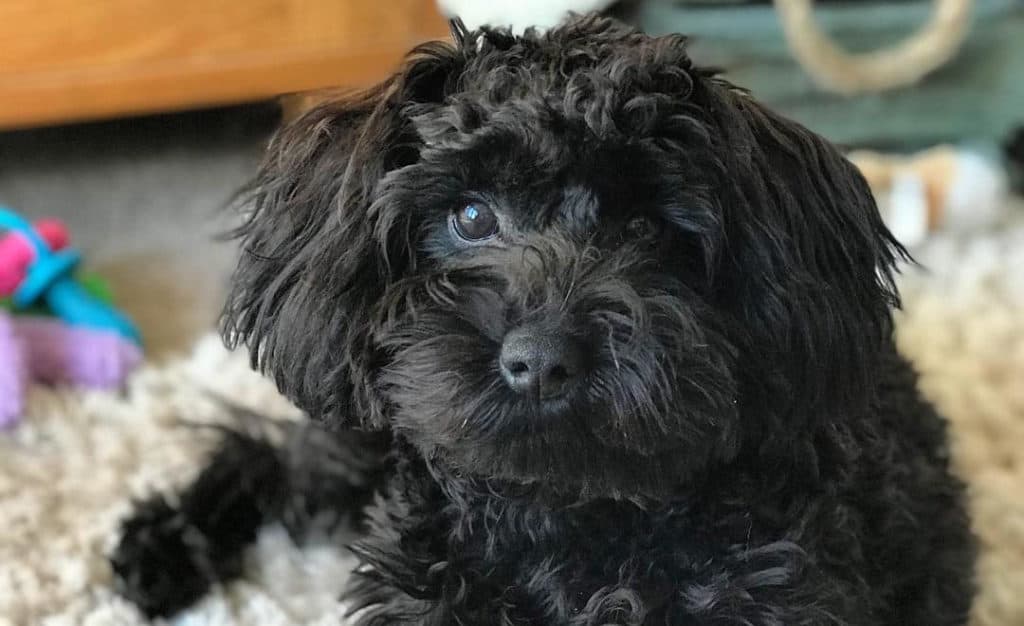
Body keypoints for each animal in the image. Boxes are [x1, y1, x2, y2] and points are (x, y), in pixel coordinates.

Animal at [112, 15, 974, 626]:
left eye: (646, 230)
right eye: (469, 215)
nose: (541, 360)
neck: (563, 518)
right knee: (272, 452)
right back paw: (157, 553)